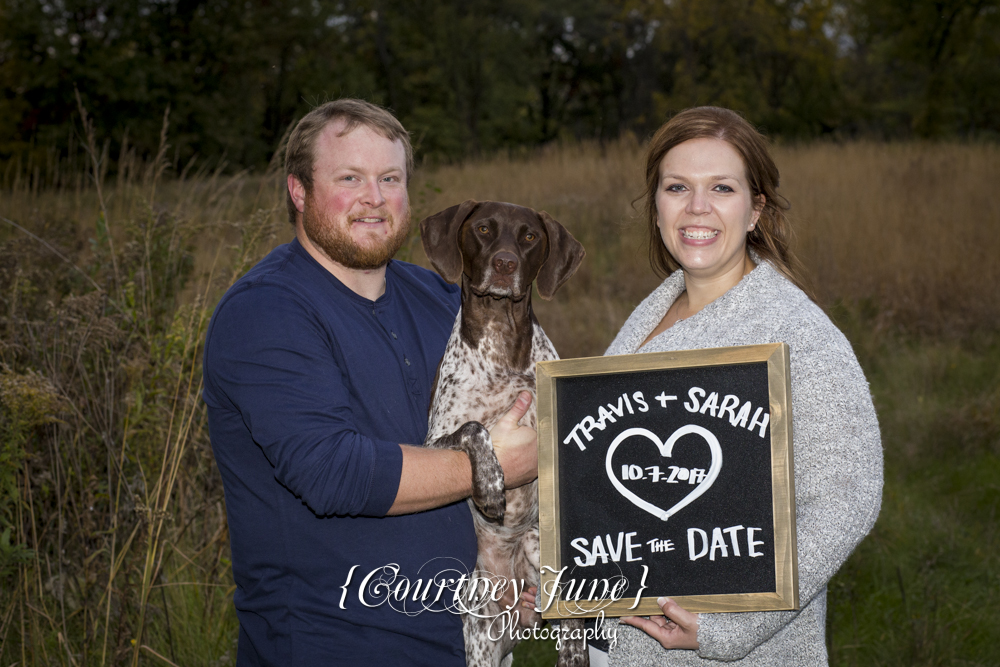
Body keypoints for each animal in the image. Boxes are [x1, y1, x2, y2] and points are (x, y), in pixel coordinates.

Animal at [420, 202, 584, 667]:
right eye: (482, 229)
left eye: (529, 237)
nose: (505, 264)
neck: (500, 340)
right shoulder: (435, 439)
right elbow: (475, 429)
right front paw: (492, 488)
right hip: (478, 641)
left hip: (539, 549)